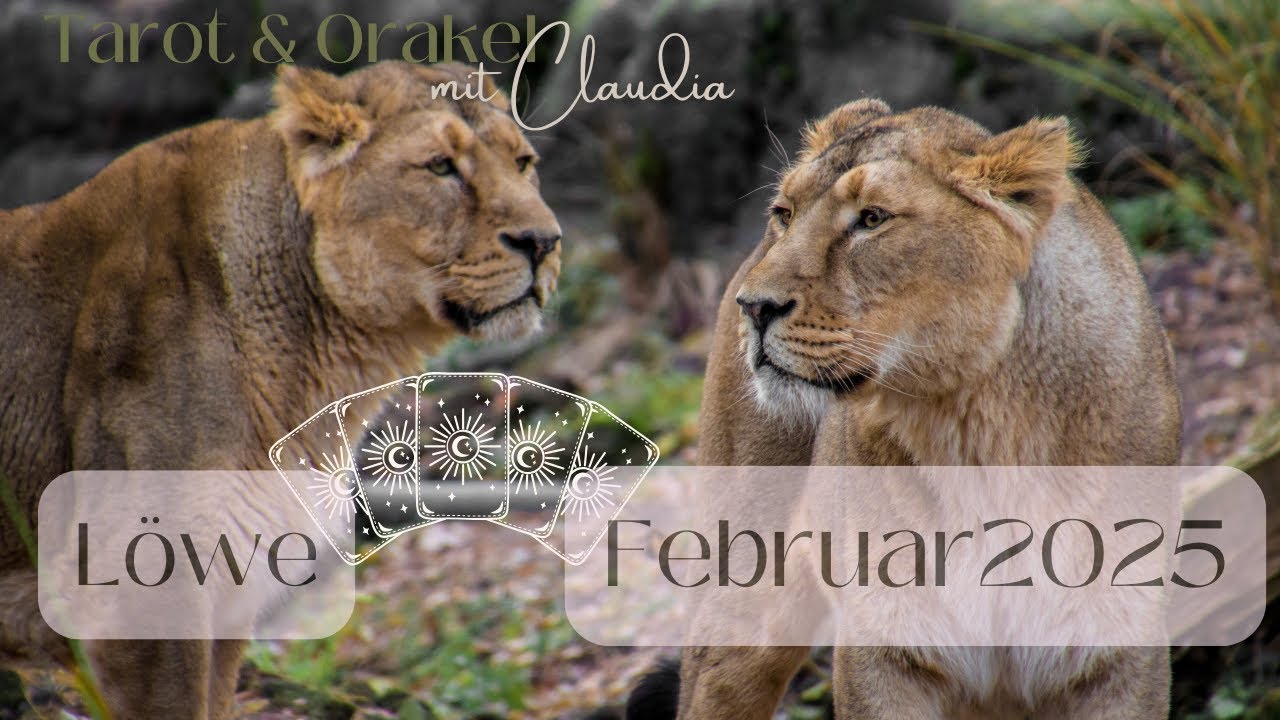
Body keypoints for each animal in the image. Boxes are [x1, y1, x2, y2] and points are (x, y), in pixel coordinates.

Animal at [627, 100, 1181, 719]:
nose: (755, 306)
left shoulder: (1119, 655)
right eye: (784, 214)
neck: (978, 425)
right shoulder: (885, 650)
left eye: (872, 219)